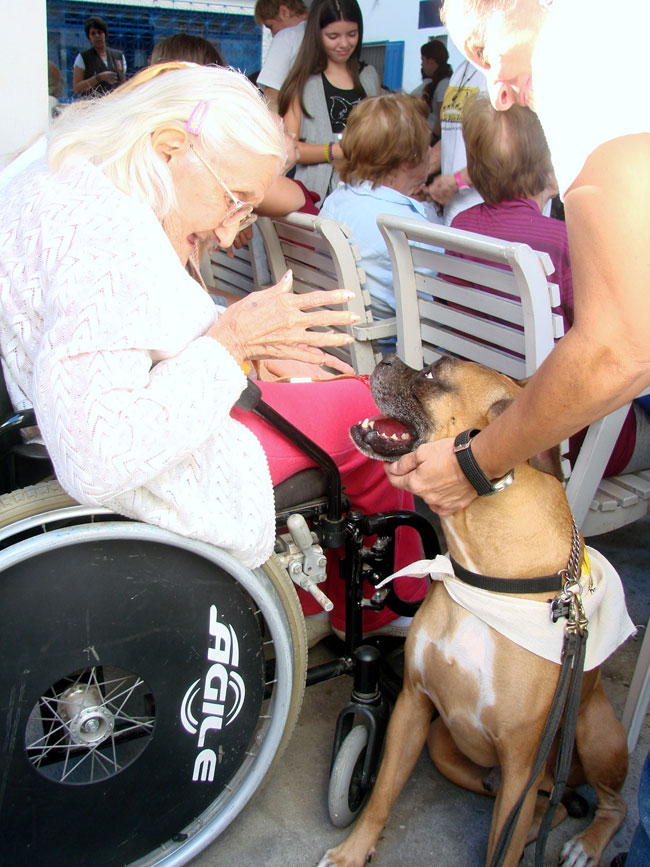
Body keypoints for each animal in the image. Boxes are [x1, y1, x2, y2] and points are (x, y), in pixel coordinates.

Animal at [318, 354, 628, 867]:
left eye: (431, 374)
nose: (385, 358)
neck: (487, 573)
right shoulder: (413, 705)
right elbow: (382, 793)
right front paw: (353, 850)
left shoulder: (522, 765)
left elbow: (499, 850)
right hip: (448, 748)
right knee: (551, 806)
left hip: (591, 737)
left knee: (611, 804)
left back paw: (587, 843)